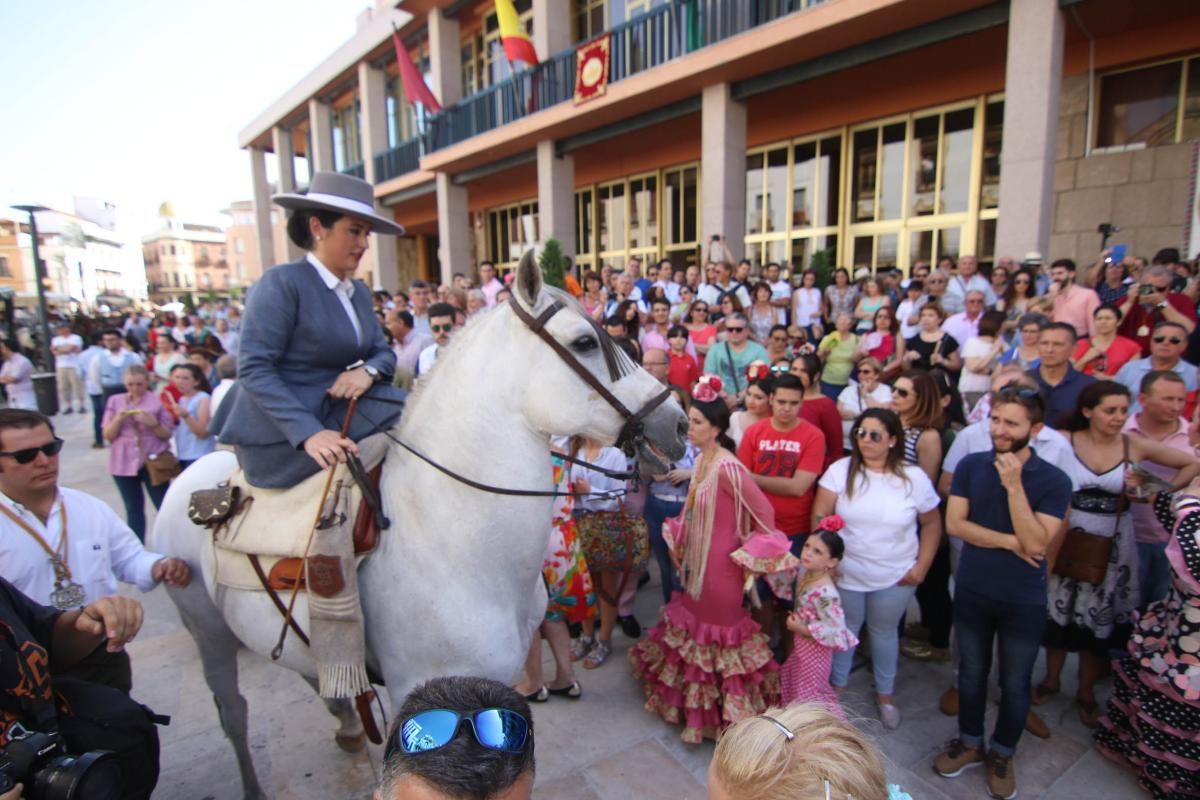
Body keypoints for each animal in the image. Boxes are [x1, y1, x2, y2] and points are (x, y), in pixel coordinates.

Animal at [152, 253, 686, 796]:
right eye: (583, 343)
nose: (678, 421)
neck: (452, 540)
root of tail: (193, 474)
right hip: (207, 630)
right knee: (232, 710)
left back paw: (345, 723)